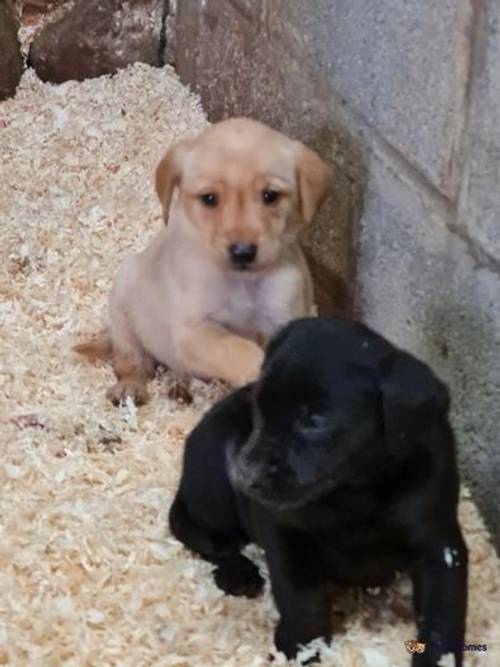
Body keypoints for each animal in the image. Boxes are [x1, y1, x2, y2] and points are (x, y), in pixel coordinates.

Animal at [75, 117, 332, 404]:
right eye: (209, 199)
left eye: (271, 195)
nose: (243, 252)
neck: (242, 282)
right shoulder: (193, 332)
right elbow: (232, 346)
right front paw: (255, 368)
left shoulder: (283, 316)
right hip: (123, 308)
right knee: (132, 363)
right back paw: (130, 387)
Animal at [169, 316, 468, 664]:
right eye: (259, 405)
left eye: (314, 420)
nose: (244, 477)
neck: (355, 492)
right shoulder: (285, 534)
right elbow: (301, 599)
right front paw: (298, 649)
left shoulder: (439, 543)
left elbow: (442, 614)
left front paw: (439, 658)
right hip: (214, 483)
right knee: (200, 535)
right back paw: (237, 572)